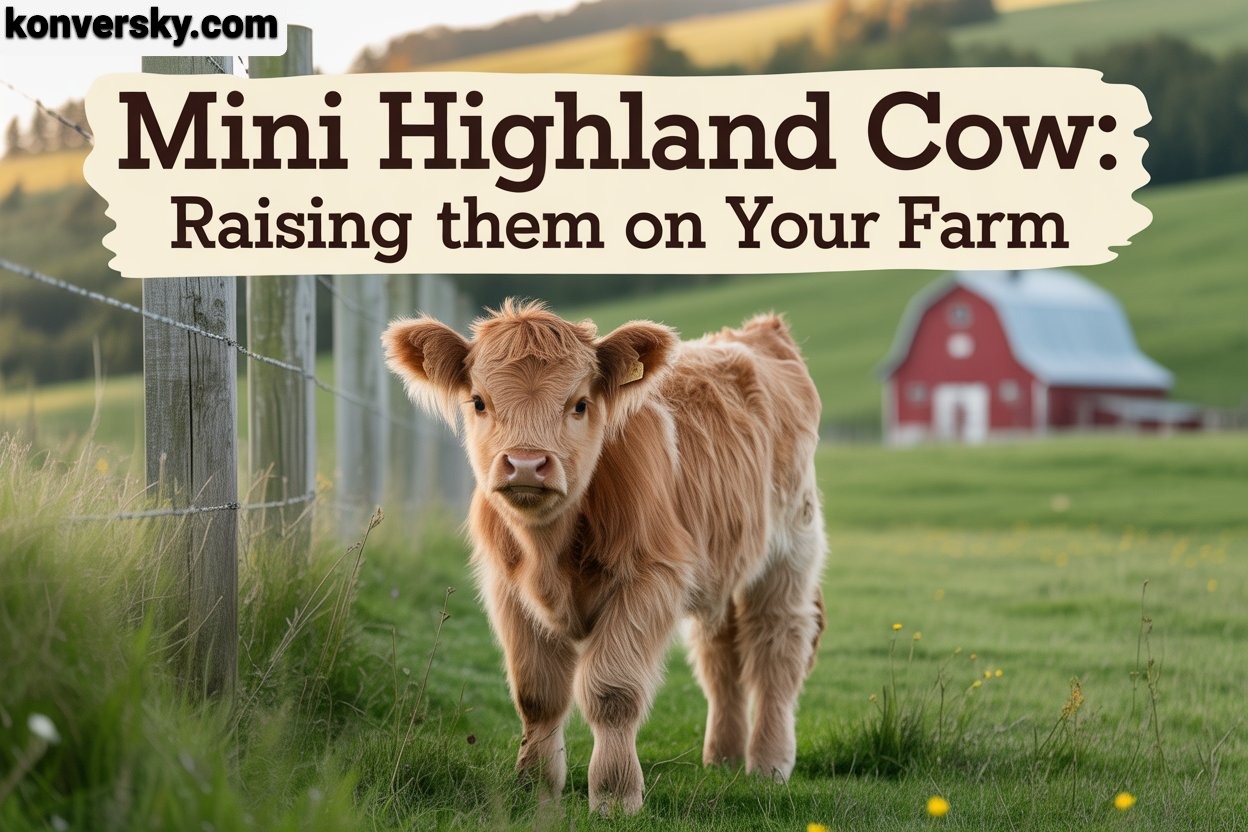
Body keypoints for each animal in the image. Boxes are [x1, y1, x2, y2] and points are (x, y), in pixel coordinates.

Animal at [383, 299, 826, 814]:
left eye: (580, 404)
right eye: (479, 401)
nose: (527, 464)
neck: (548, 549)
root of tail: (757, 331)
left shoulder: (649, 580)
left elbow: (612, 693)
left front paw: (615, 796)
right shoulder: (509, 590)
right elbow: (537, 696)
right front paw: (535, 792)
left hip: (788, 553)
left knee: (775, 647)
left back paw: (769, 765)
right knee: (720, 654)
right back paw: (723, 758)